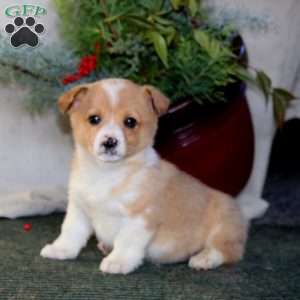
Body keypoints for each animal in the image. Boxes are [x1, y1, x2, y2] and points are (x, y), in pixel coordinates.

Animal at [40, 79, 253, 274]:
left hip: (223, 224)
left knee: (227, 251)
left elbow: (125, 241)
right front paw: (60, 250)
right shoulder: (79, 209)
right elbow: (70, 232)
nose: (110, 142)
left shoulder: (140, 217)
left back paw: (204, 258)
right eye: (94, 119)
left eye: (130, 122)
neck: (107, 174)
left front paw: (118, 262)